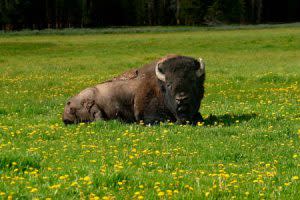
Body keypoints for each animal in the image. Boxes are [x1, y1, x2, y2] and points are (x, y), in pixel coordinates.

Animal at [62, 54, 205, 125]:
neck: (160, 86)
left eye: (193, 81)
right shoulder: (148, 115)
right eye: (169, 84)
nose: (182, 99)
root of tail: (67, 106)